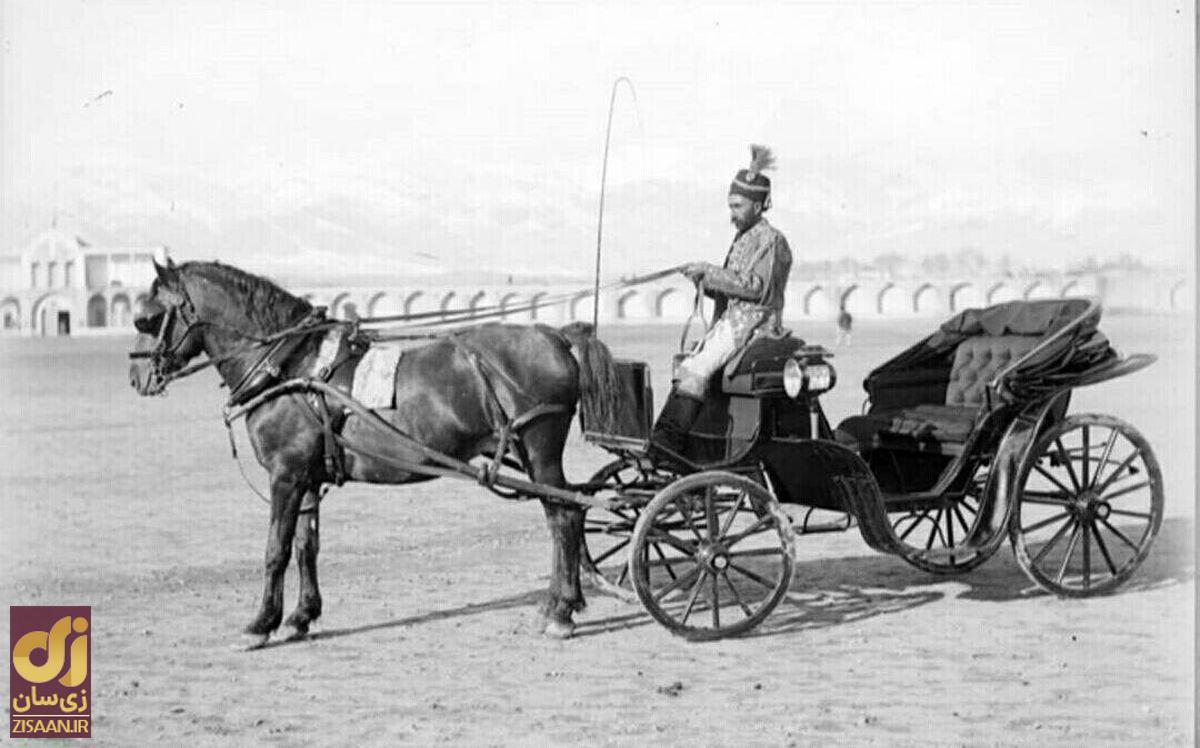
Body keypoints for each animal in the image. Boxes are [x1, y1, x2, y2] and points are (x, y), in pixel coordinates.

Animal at [130, 260, 619, 648]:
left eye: (147, 318)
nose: (137, 377)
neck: (290, 367)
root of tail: (554, 333)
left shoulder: (285, 476)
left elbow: (276, 550)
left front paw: (260, 624)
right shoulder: (308, 478)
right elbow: (306, 546)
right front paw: (301, 616)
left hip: (539, 451)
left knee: (563, 516)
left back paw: (560, 611)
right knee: (569, 514)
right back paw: (563, 603)